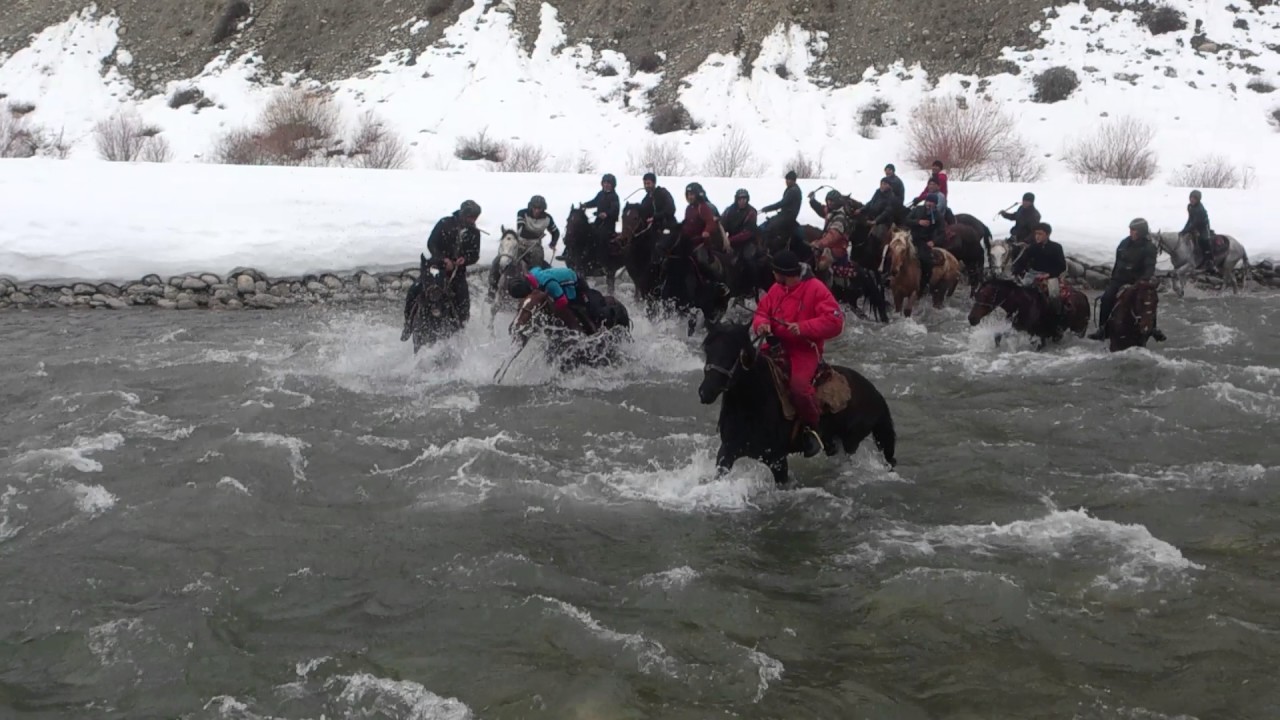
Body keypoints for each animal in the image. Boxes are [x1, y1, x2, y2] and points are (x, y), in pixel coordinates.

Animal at [696, 320, 896, 484]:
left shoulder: (776, 460)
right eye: (708, 349)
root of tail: (875, 394)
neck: (753, 404)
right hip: (832, 442)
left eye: (736, 351)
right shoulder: (727, 452)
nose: (706, 392)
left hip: (850, 442)